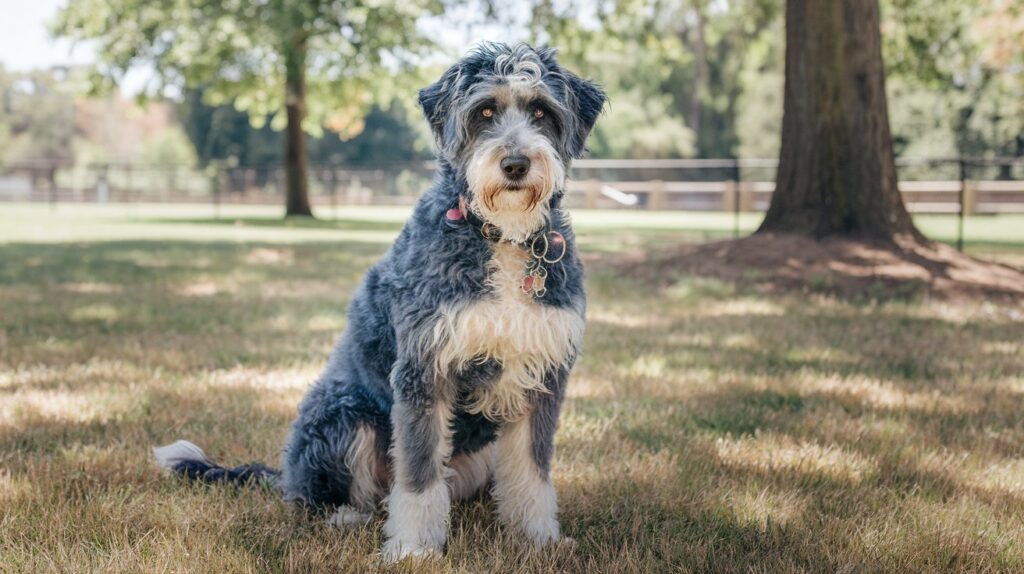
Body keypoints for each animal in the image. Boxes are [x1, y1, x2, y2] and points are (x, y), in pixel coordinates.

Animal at [154, 43, 602, 560]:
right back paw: (346, 516)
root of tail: (282, 473)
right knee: (322, 498)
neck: (501, 237)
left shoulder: (542, 375)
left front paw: (537, 540)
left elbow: (531, 471)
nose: (514, 164)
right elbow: (419, 476)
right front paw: (413, 549)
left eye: (542, 112)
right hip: (345, 414)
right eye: (485, 111)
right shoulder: (424, 370)